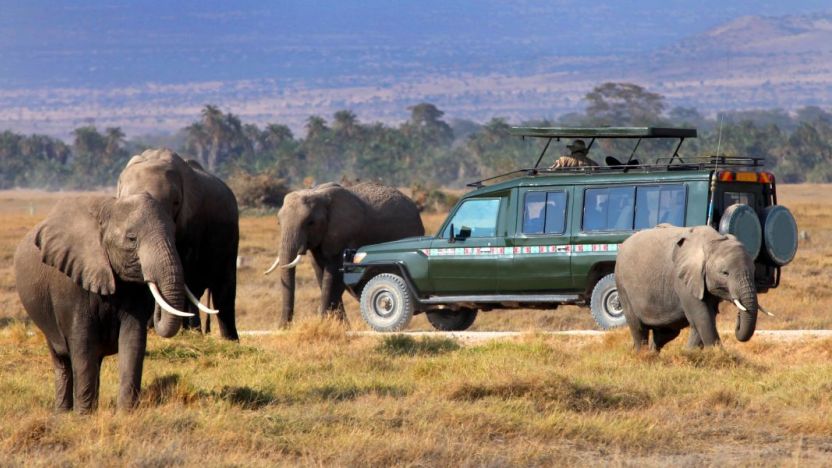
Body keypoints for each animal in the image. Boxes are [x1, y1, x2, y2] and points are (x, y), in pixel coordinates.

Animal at [14, 194, 201, 413]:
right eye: (131, 238)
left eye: (174, 235)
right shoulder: (71, 283)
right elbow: (82, 342)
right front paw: (83, 416)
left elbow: (133, 340)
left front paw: (125, 413)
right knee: (62, 359)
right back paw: (63, 413)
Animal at [117, 148, 240, 340]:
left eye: (176, 203)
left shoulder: (192, 223)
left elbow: (185, 272)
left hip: (230, 237)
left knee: (222, 289)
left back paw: (225, 339)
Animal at [265, 182, 425, 324]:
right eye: (278, 222)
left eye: (310, 223)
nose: (283, 328)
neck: (317, 193)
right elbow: (321, 273)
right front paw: (339, 326)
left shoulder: (345, 234)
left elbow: (334, 275)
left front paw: (324, 323)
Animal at [615, 224, 771, 352]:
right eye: (725, 273)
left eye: (754, 271)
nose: (738, 317)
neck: (713, 240)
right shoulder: (682, 279)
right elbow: (702, 316)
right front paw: (717, 355)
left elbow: (705, 317)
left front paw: (689, 353)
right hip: (622, 284)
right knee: (638, 327)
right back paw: (642, 355)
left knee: (667, 332)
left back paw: (653, 355)